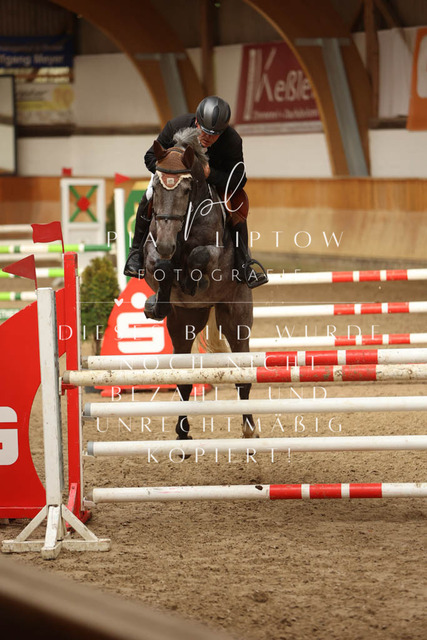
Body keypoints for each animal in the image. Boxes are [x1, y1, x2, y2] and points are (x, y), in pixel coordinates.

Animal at [142, 127, 256, 440]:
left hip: (237, 319)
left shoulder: (213, 253)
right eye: (156, 188)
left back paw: (249, 428)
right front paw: (156, 302)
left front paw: (194, 281)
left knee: (243, 376)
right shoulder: (151, 251)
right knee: (183, 378)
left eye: (185, 189)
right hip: (184, 323)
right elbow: (161, 267)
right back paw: (182, 431)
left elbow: (199, 257)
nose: (167, 244)